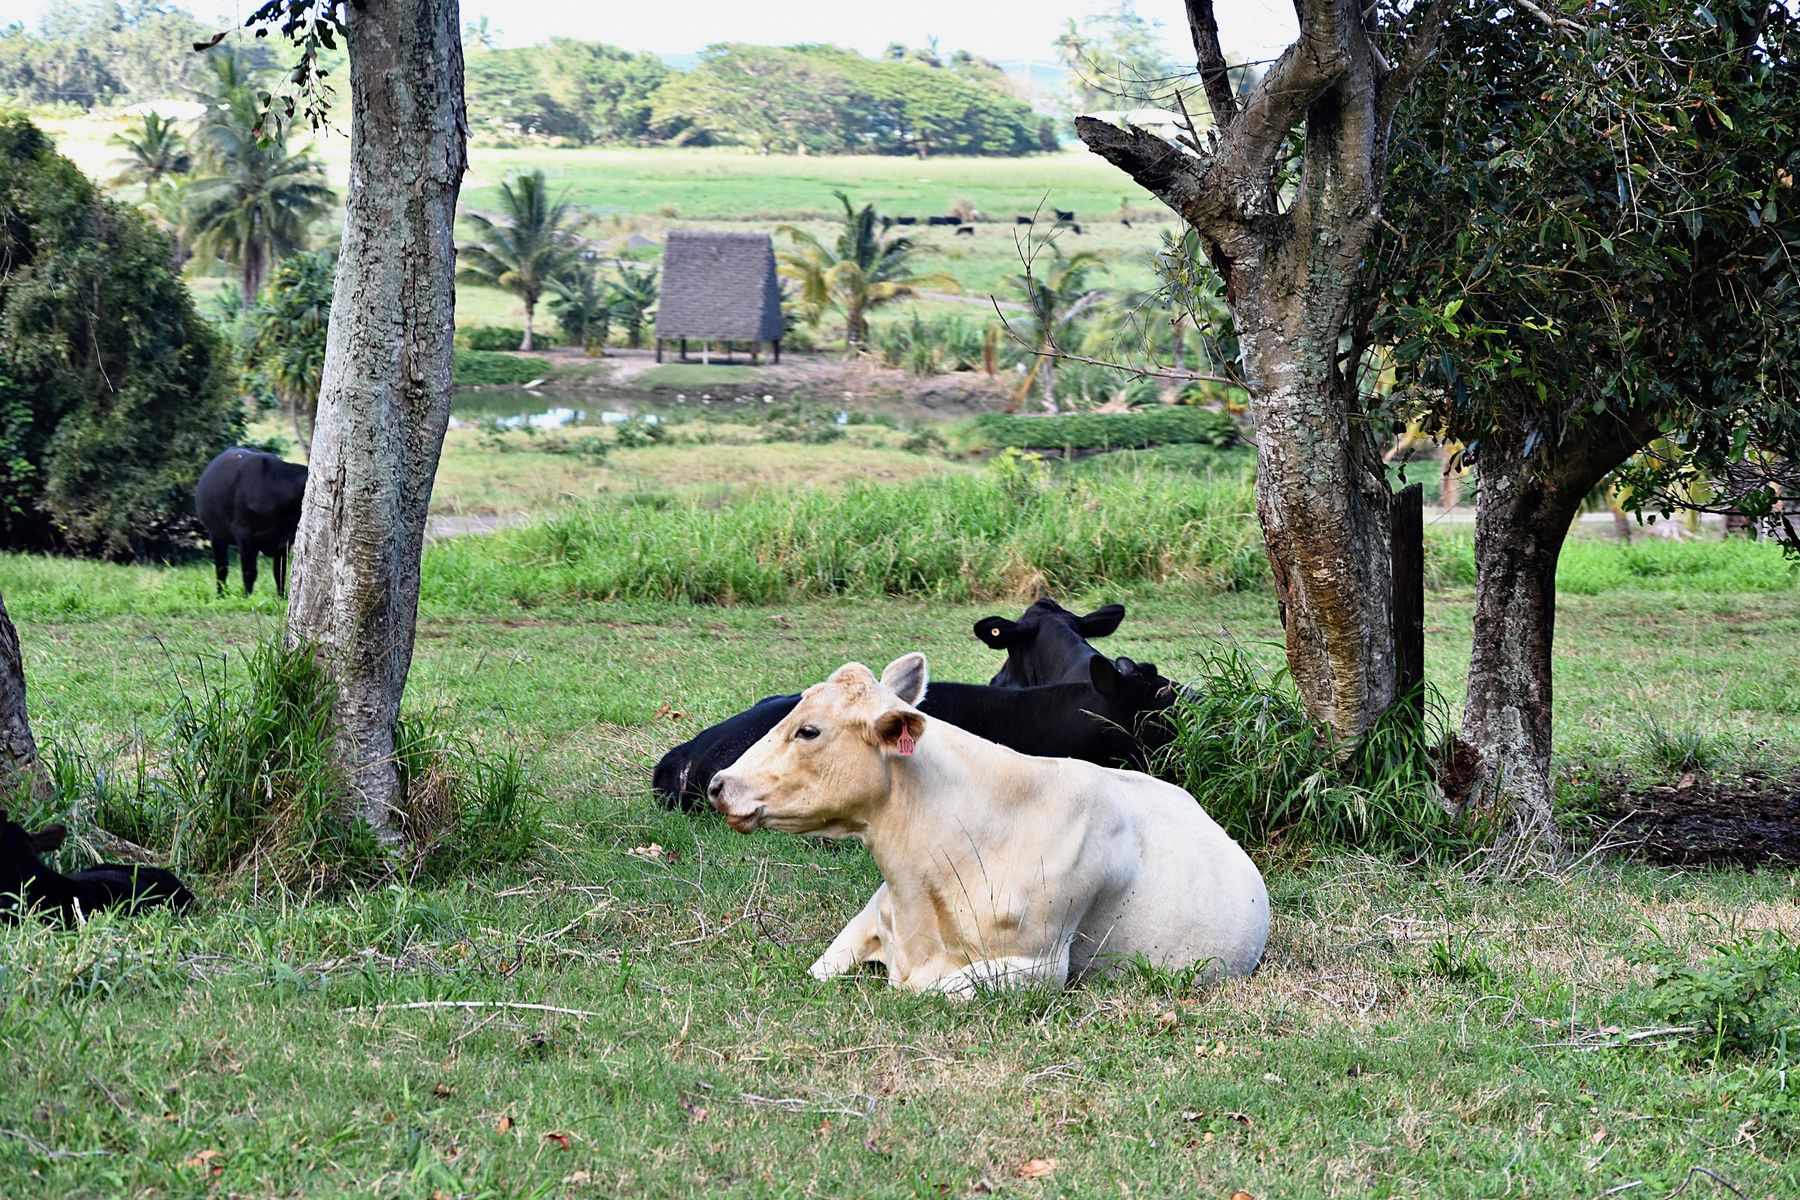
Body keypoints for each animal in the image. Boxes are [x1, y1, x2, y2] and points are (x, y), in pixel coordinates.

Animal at [194, 448, 308, 598]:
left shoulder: (285, 540)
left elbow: (280, 572)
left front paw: (281, 596)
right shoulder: (244, 535)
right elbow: (249, 572)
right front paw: (247, 597)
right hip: (215, 533)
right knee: (221, 565)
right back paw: (221, 595)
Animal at [707, 653, 1268, 996]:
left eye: (808, 731)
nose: (719, 784)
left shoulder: (1039, 966)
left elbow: (934, 991)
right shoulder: (868, 918)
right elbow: (819, 970)